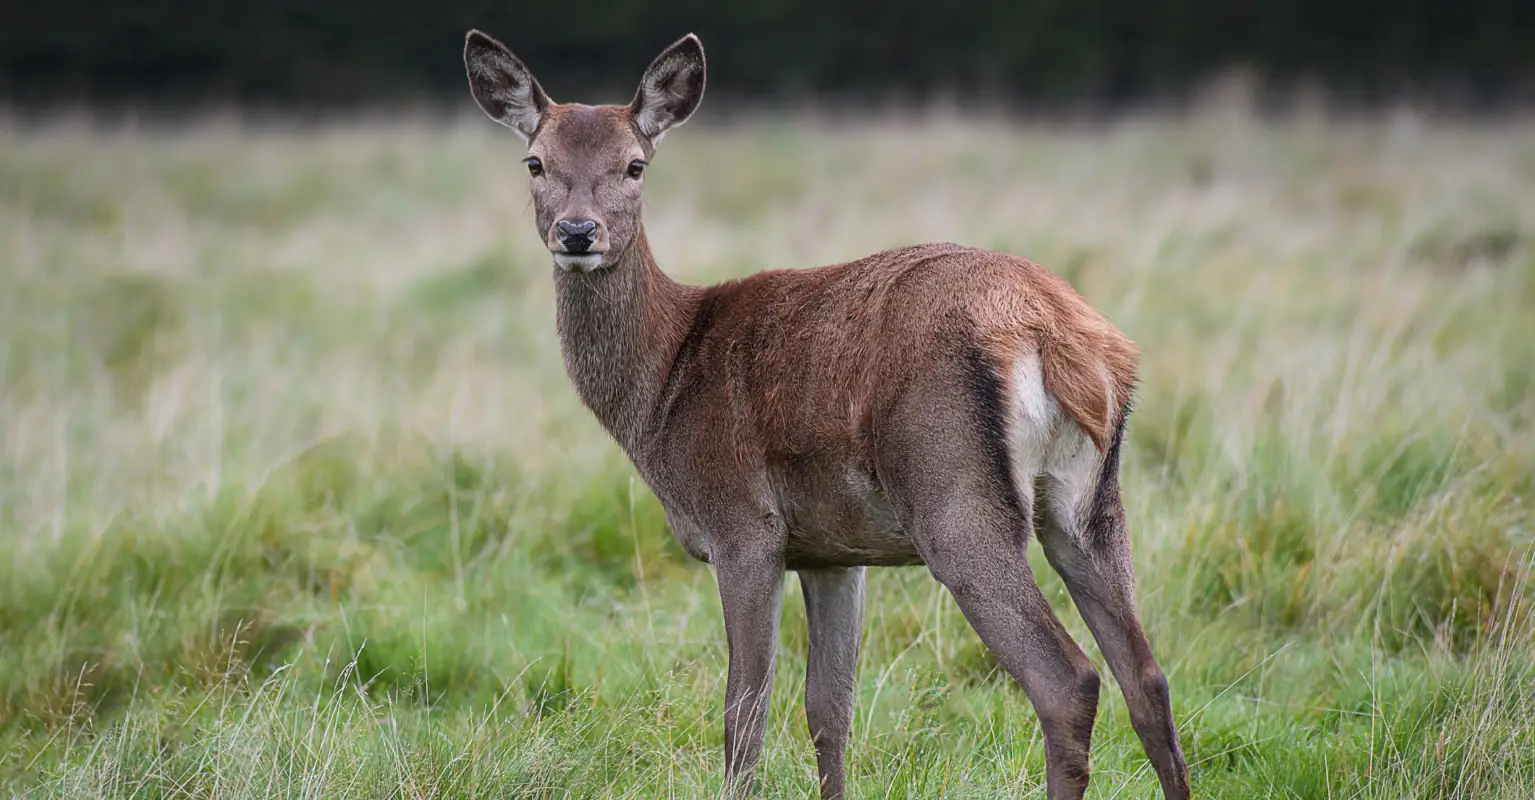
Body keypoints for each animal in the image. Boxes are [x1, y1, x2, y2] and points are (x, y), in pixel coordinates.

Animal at [462, 30, 1192, 800]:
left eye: (635, 164)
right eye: (535, 162)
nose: (577, 232)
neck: (664, 385)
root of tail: (1055, 331)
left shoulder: (744, 526)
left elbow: (744, 711)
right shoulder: (834, 550)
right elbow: (828, 709)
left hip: (955, 492)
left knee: (1069, 680)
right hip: (1091, 502)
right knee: (1148, 678)